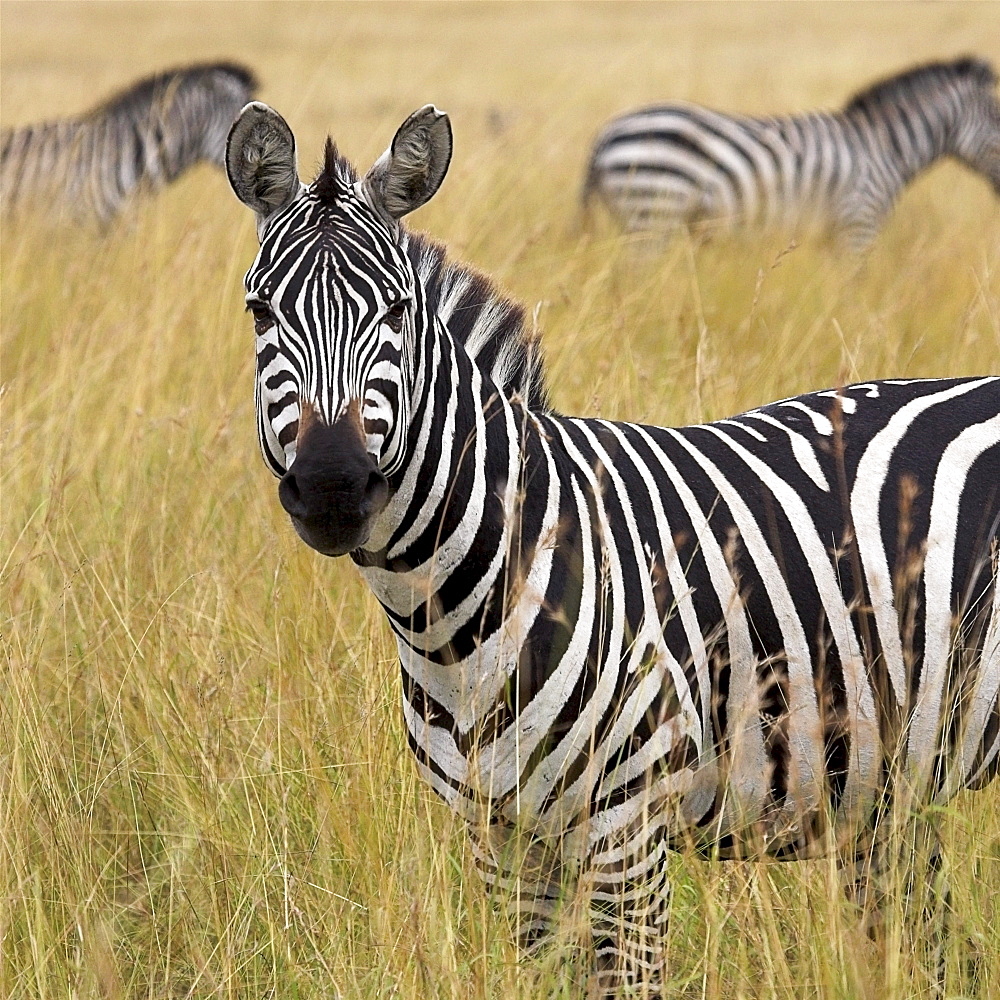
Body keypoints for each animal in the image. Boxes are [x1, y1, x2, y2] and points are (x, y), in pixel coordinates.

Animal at [227, 99, 1000, 992]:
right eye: (260, 312)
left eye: (396, 311)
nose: (332, 484)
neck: (457, 618)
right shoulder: (501, 839)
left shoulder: (629, 828)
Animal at [584, 56, 1000, 248]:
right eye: (999, 124)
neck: (887, 147)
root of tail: (606, 133)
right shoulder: (858, 223)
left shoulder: (835, 232)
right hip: (653, 210)